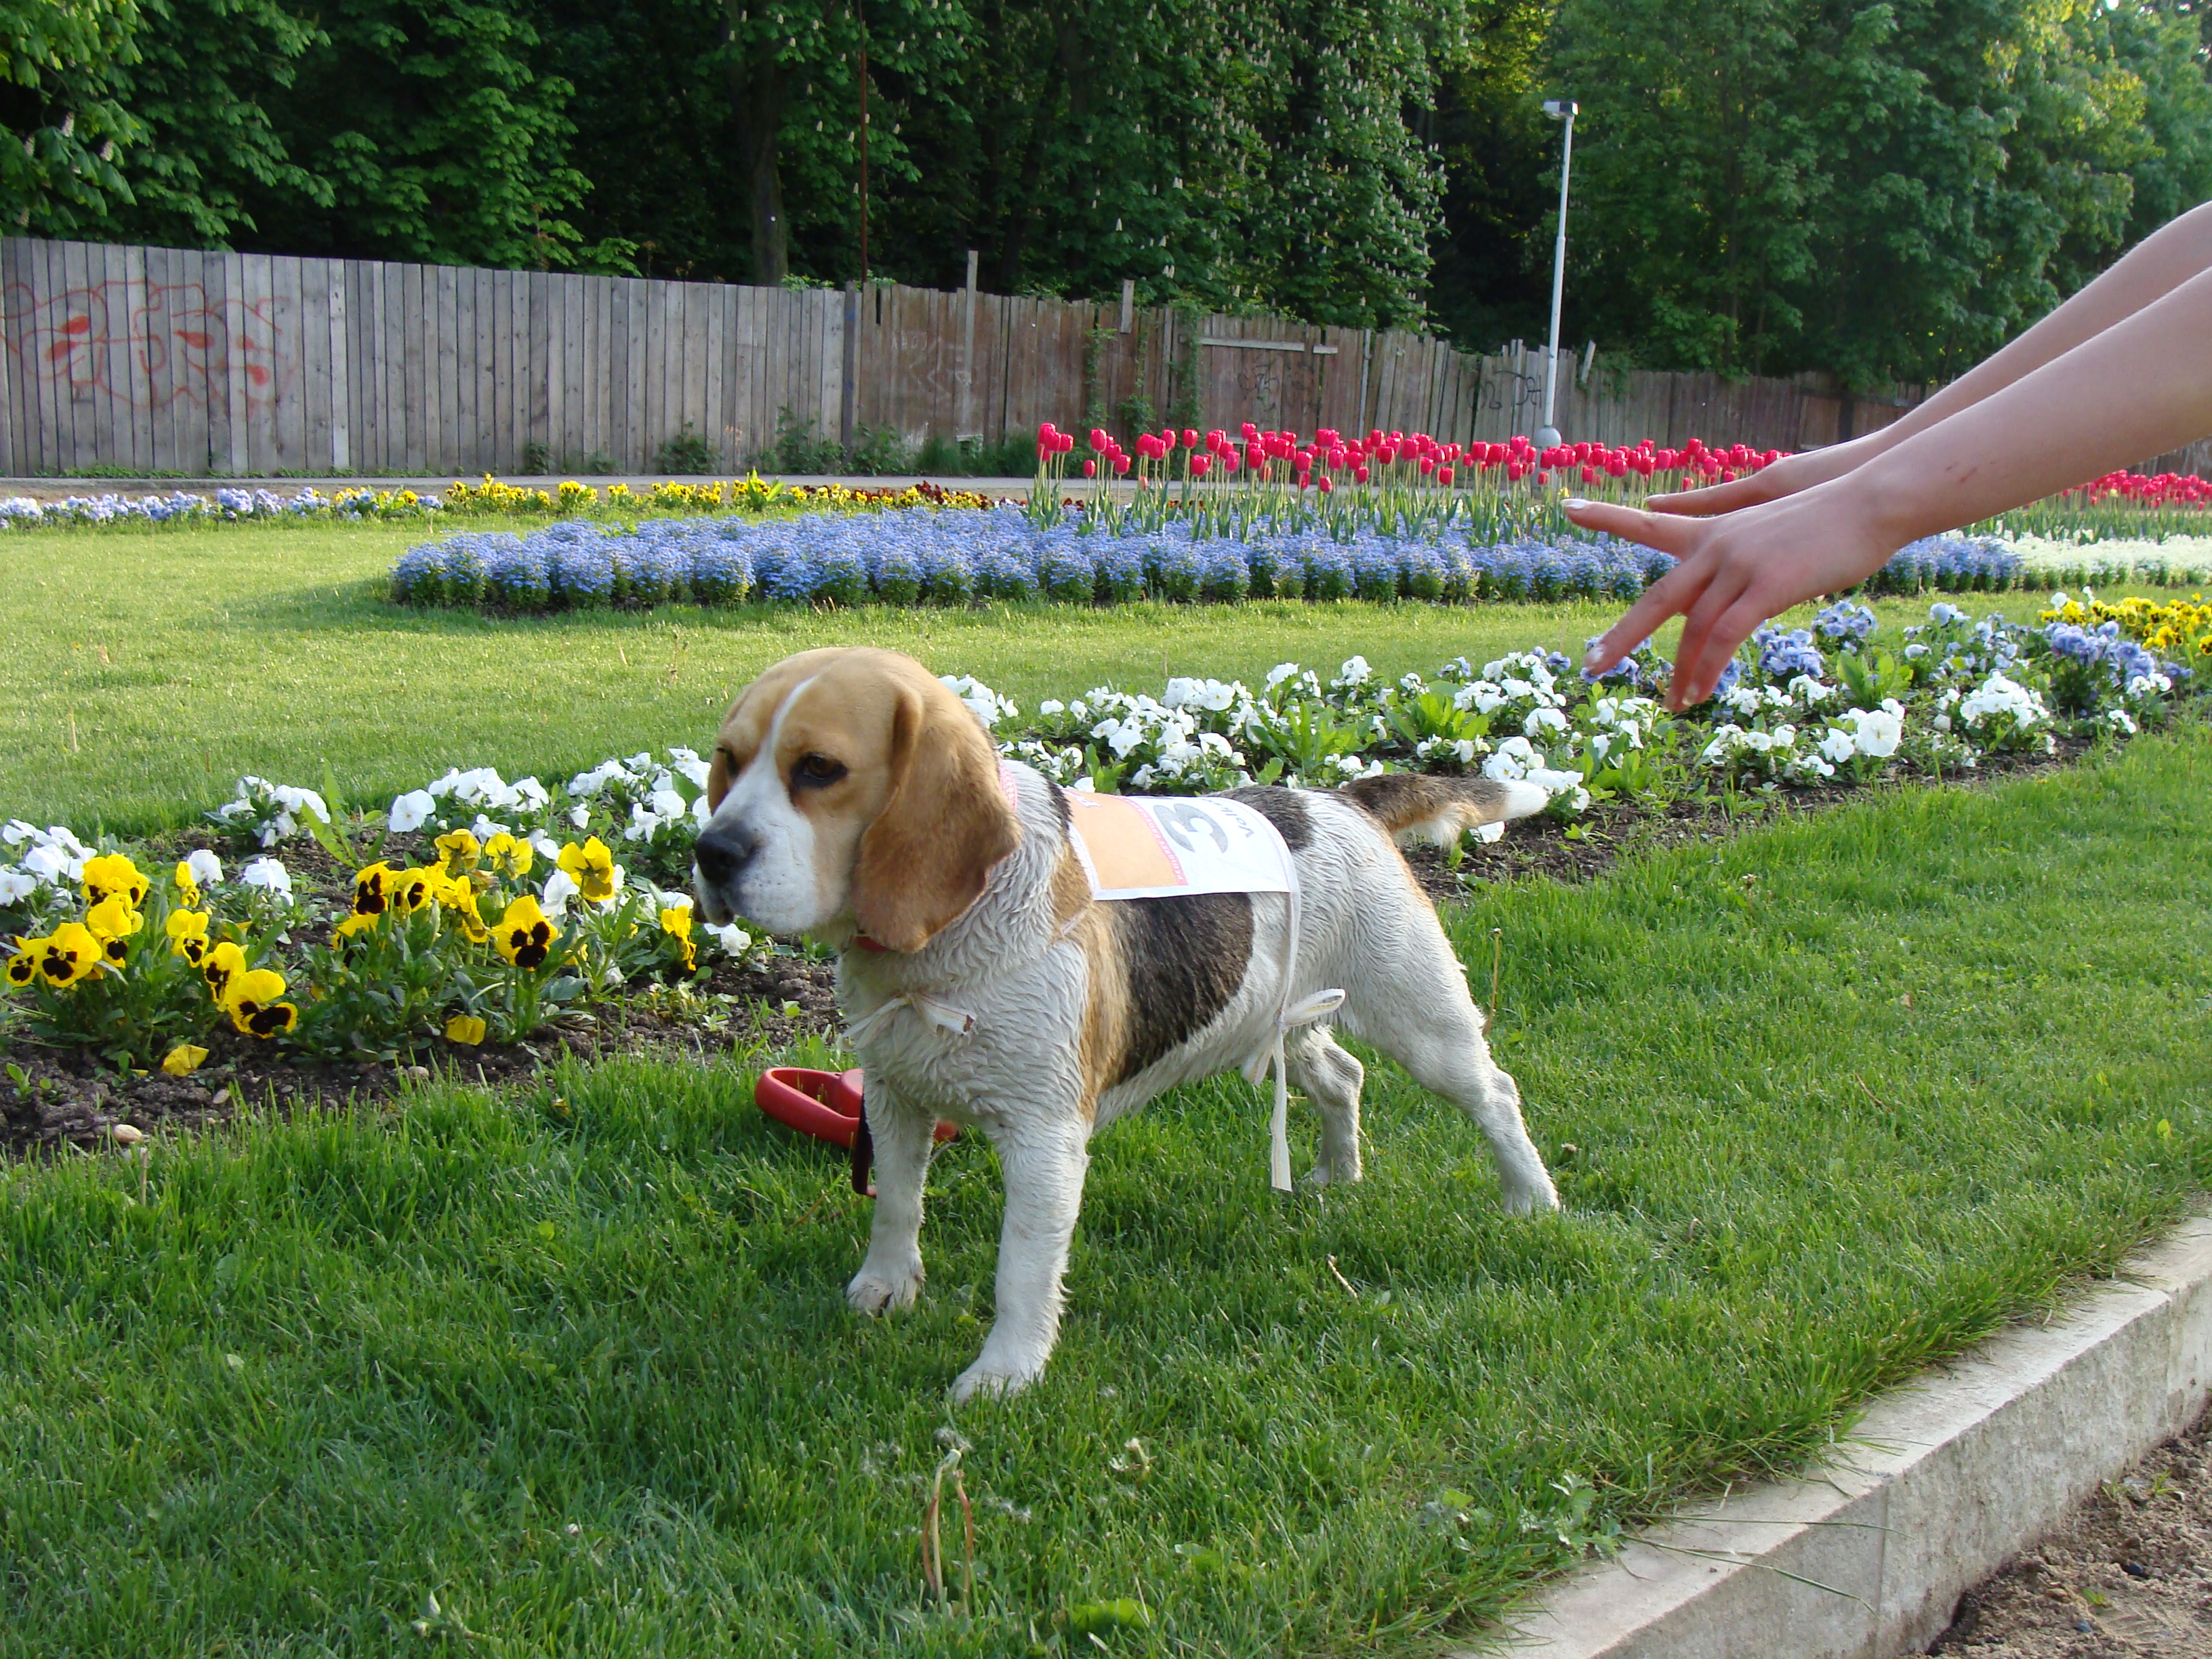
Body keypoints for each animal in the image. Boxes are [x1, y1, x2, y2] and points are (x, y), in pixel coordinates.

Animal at [690, 650, 1557, 1406]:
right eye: (729, 759)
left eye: (819, 769)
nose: (711, 852)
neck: (939, 945)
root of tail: (1341, 799)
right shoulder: (895, 1098)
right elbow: (897, 1207)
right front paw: (885, 1288)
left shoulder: (1045, 1139)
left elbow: (1022, 1268)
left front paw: (1005, 1376)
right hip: (1285, 1018)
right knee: (1345, 1078)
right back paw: (1335, 1177)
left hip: (1423, 1020)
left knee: (1496, 1094)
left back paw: (1532, 1201)